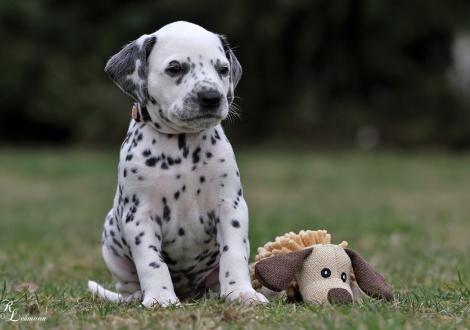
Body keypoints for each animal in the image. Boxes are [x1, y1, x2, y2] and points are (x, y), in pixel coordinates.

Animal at [86, 21, 266, 308]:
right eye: (175, 68)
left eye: (223, 69)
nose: (211, 97)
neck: (182, 146)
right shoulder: (139, 215)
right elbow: (151, 262)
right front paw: (160, 298)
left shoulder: (231, 207)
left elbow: (233, 253)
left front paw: (241, 292)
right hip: (111, 239)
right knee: (127, 284)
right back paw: (136, 296)